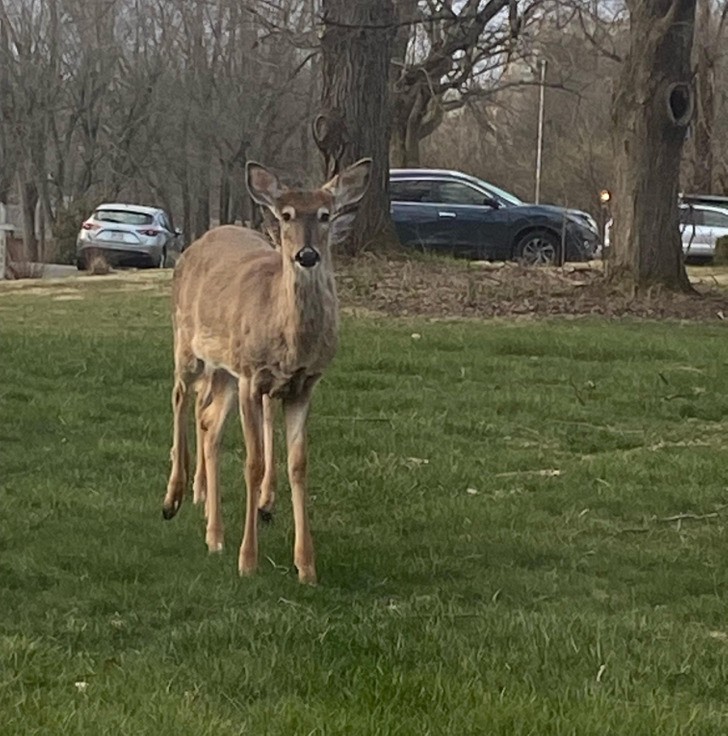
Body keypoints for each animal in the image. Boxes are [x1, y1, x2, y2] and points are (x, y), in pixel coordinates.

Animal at [162, 158, 372, 584]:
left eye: (325, 215)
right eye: (286, 214)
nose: (307, 255)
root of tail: (194, 244)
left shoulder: (304, 384)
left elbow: (298, 464)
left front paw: (306, 565)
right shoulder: (252, 376)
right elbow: (254, 463)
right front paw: (248, 560)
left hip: (224, 370)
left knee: (209, 422)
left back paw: (214, 534)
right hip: (188, 344)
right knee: (179, 396)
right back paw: (173, 498)